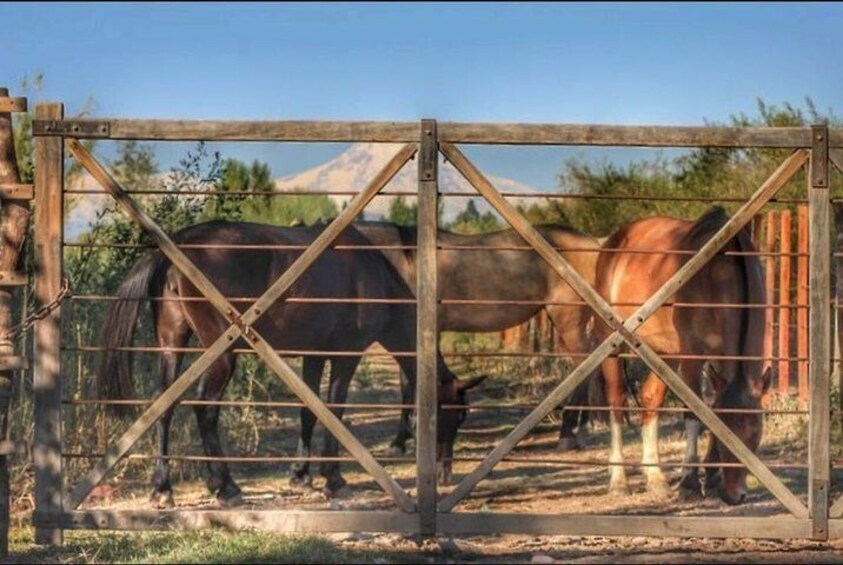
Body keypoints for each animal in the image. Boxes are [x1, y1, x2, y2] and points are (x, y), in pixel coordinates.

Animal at [98, 218, 482, 504]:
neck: (372, 274)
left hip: (172, 344)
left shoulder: (315, 355)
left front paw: (300, 475)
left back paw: (162, 488)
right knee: (205, 409)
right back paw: (226, 486)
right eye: (455, 414)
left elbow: (310, 411)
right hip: (222, 353)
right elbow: (334, 410)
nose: (444, 473)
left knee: (163, 407)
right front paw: (333, 478)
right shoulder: (346, 355)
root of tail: (174, 247)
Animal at [592, 206, 772, 502]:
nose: (734, 495)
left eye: (755, 434)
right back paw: (618, 480)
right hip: (612, 341)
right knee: (616, 400)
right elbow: (694, 414)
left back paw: (656, 478)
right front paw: (690, 483)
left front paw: (711, 475)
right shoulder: (692, 355)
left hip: (663, 352)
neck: (718, 274)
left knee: (650, 399)